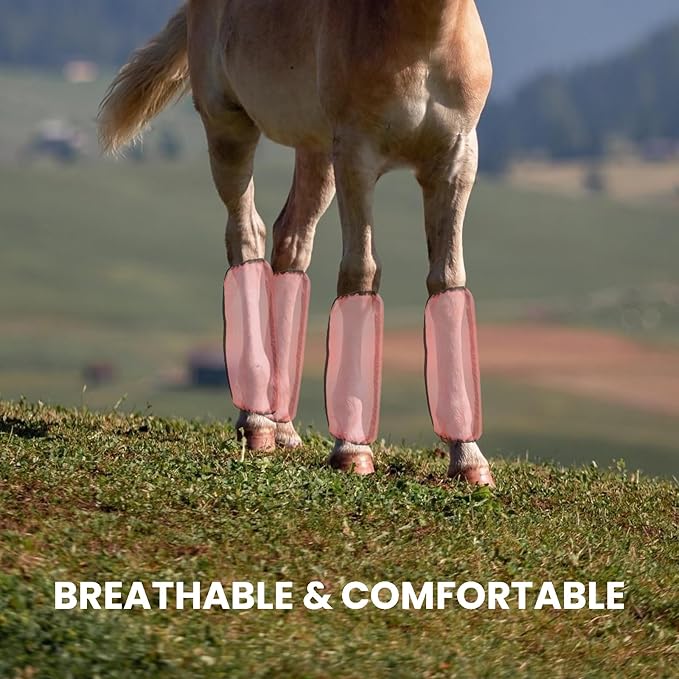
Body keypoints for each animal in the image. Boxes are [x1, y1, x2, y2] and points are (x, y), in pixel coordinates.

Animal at [98, 0, 495, 486]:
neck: (424, 38)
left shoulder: (458, 159)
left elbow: (447, 279)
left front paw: (468, 458)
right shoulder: (357, 156)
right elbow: (360, 272)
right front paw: (352, 450)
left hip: (315, 150)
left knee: (290, 244)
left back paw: (282, 425)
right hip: (229, 127)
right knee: (246, 236)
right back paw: (256, 424)